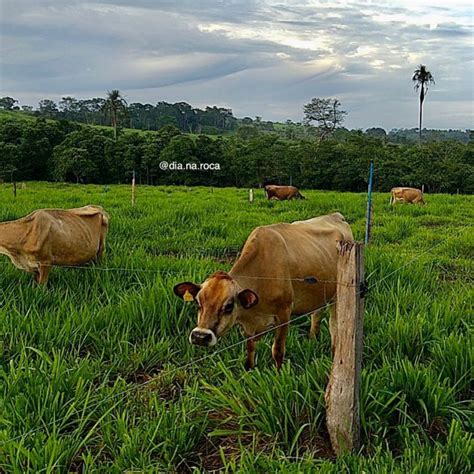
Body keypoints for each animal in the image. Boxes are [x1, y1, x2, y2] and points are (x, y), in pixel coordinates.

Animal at [174, 212, 352, 370]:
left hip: (338, 295)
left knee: (334, 326)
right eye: (198, 303)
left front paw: (279, 374)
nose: (200, 336)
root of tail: (336, 216)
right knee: (317, 314)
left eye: (229, 306)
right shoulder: (250, 325)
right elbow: (250, 348)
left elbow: (278, 350)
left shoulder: (284, 313)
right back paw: (312, 339)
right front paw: (249, 370)